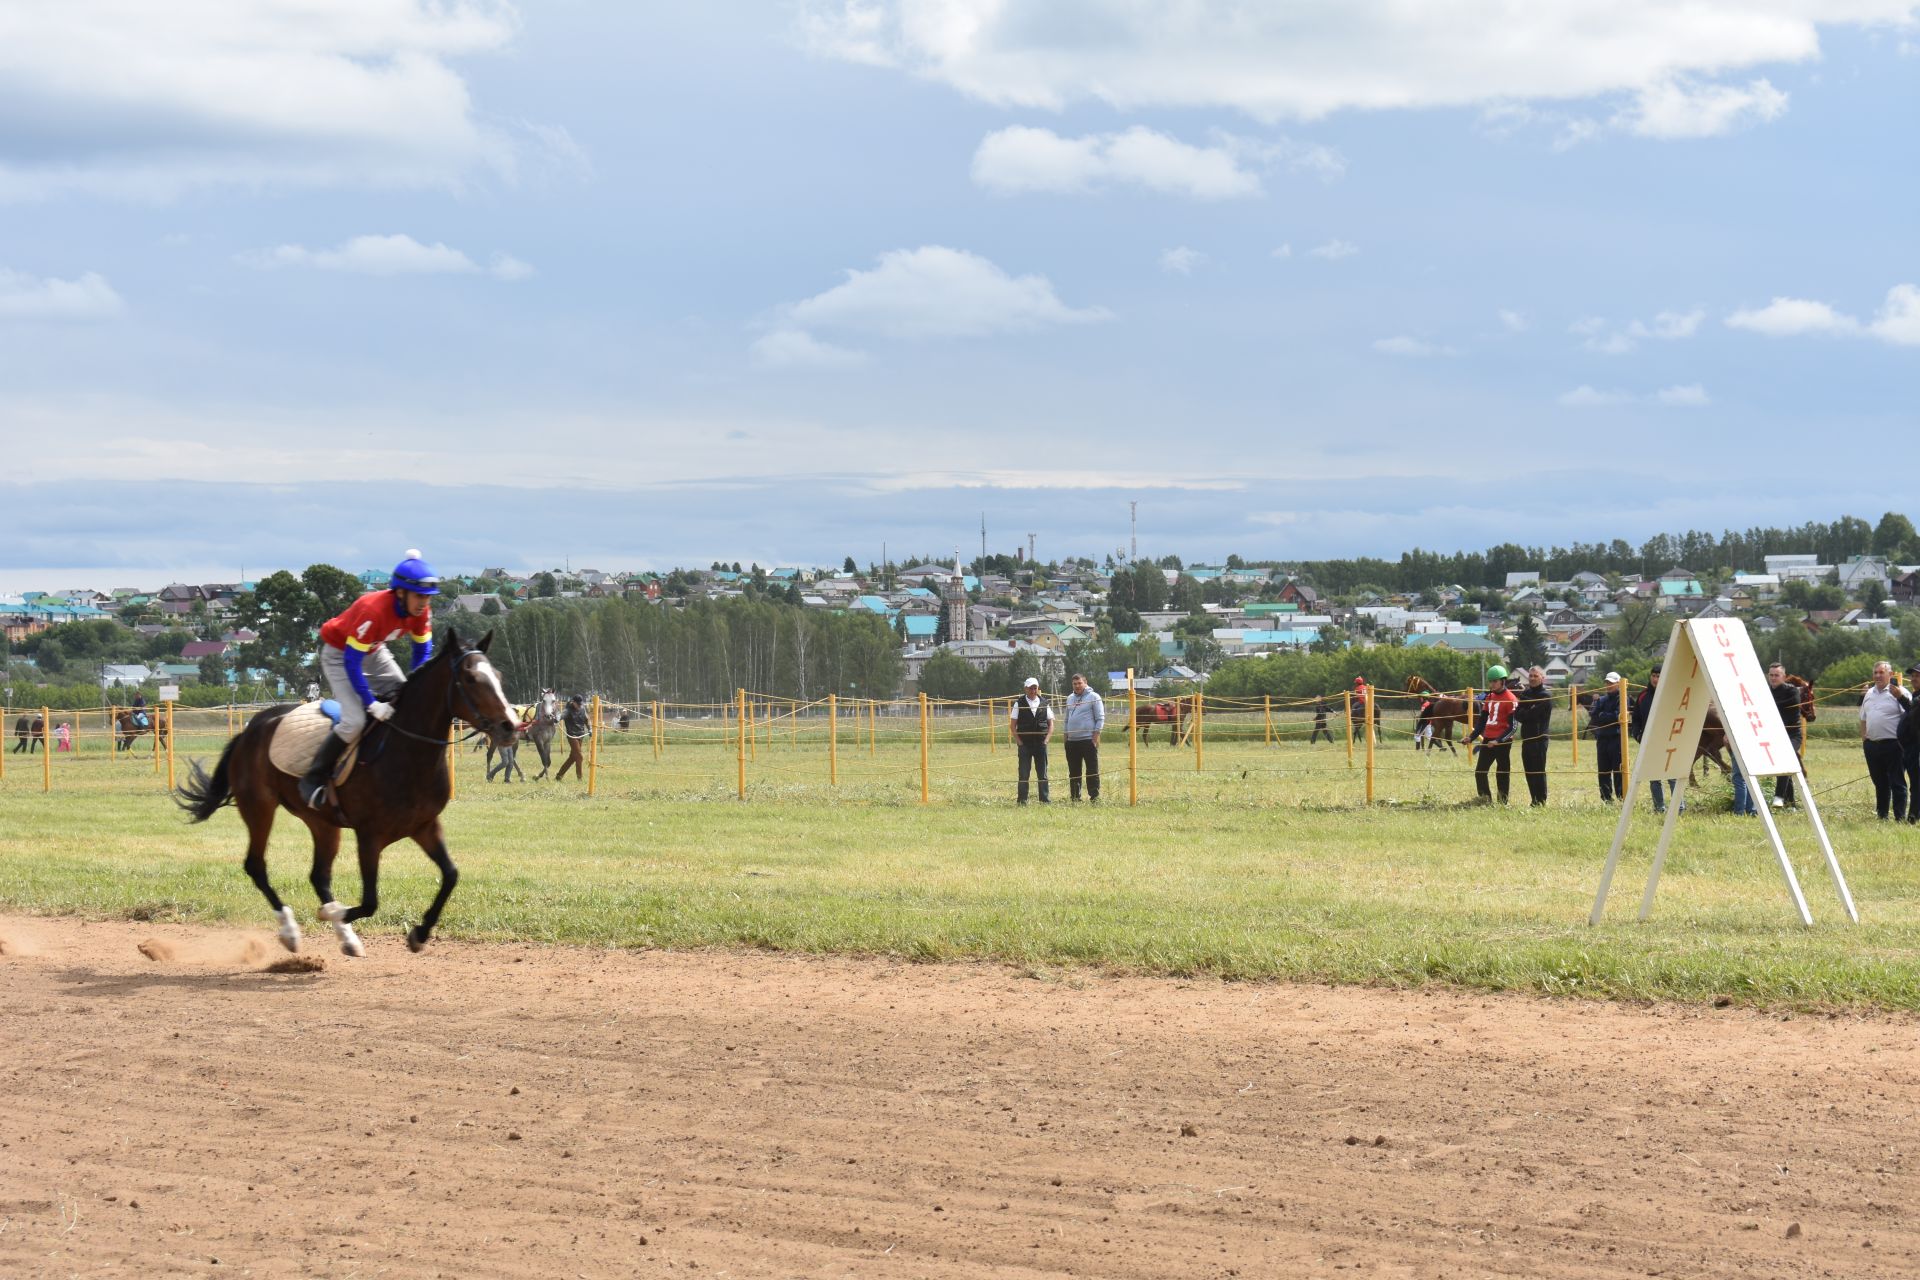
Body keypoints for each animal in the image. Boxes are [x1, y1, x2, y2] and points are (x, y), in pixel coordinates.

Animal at [171, 629, 514, 959]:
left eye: (498, 675)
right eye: (471, 679)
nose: (511, 726)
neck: (408, 752)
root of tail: (251, 728)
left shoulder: (425, 826)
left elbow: (451, 875)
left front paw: (420, 933)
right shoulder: (369, 835)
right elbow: (370, 902)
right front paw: (332, 915)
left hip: (321, 821)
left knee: (319, 875)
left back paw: (346, 938)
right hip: (259, 806)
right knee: (256, 865)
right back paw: (291, 931)